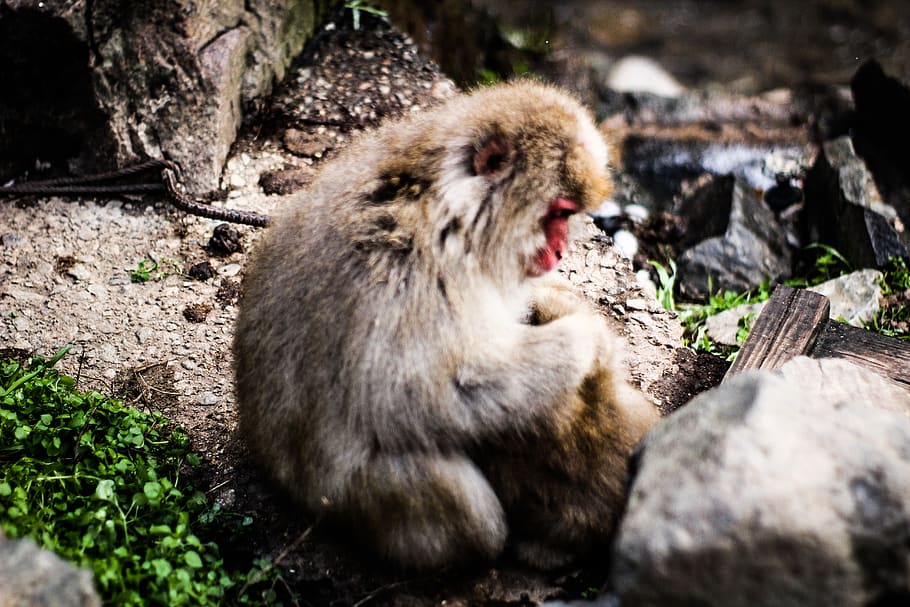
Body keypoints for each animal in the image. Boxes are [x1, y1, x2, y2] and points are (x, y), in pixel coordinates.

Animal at [233, 80, 660, 570]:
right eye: (559, 212)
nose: (560, 251)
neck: (445, 204)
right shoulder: (408, 273)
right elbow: (422, 394)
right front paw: (587, 340)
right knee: (453, 490)